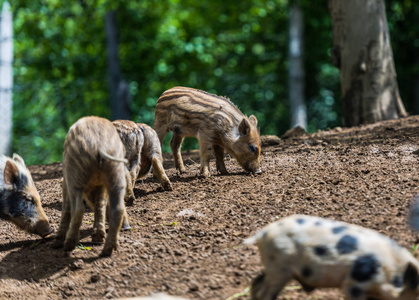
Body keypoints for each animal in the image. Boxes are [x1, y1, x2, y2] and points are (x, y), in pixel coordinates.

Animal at [244, 214, 419, 298]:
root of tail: (264, 232)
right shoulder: (354, 285)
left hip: (275, 267)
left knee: (256, 282)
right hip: (279, 268)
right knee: (264, 292)